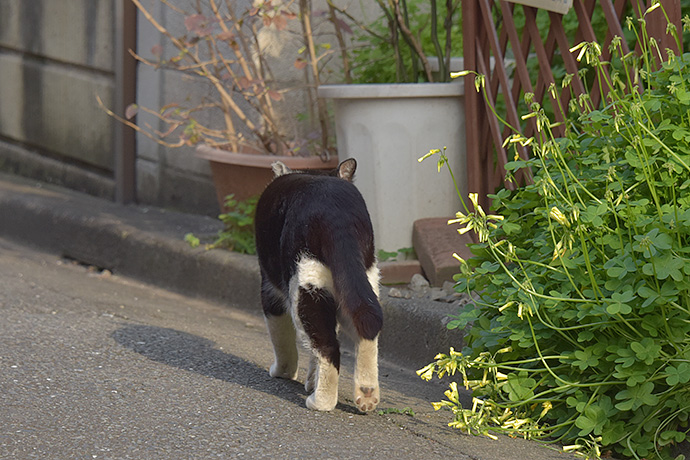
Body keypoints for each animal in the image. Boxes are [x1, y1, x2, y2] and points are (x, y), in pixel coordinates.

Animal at [254, 159, 382, 414]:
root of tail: (338, 213)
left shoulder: (270, 289)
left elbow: (281, 337)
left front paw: (283, 373)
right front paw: (311, 380)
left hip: (306, 284)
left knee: (327, 345)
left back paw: (321, 401)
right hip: (361, 280)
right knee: (366, 322)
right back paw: (366, 393)